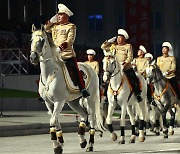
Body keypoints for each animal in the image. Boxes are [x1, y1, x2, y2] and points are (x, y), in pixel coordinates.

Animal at [29, 25, 104, 153]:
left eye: (42, 40)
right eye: (31, 40)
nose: (33, 58)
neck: (49, 73)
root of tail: (90, 68)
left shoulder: (59, 102)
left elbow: (53, 121)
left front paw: (56, 146)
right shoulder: (49, 103)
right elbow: (56, 122)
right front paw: (60, 144)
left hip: (90, 99)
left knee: (92, 119)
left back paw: (90, 145)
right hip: (73, 102)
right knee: (84, 115)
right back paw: (82, 141)